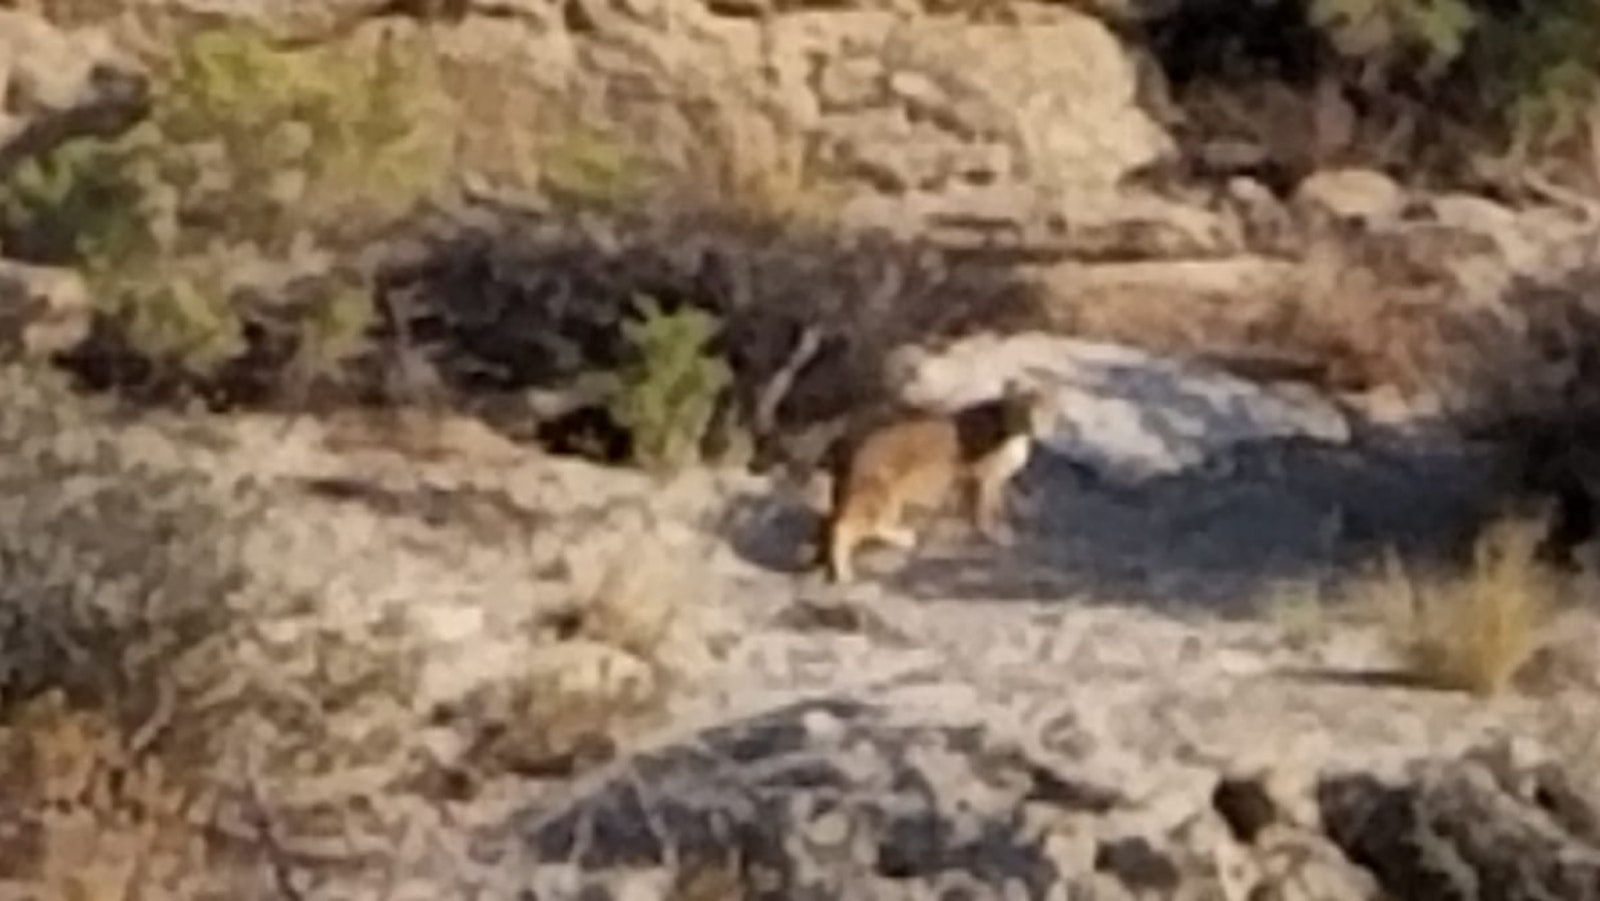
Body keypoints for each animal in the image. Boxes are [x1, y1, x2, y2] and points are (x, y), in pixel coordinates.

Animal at [819, 379, 1056, 585]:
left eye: (1034, 414)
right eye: (1018, 412)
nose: (1023, 426)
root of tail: (857, 452)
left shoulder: (992, 477)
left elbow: (1008, 494)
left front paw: (1027, 506)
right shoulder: (984, 476)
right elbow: (989, 509)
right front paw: (999, 533)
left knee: (870, 525)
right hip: (883, 492)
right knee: (845, 527)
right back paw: (846, 573)